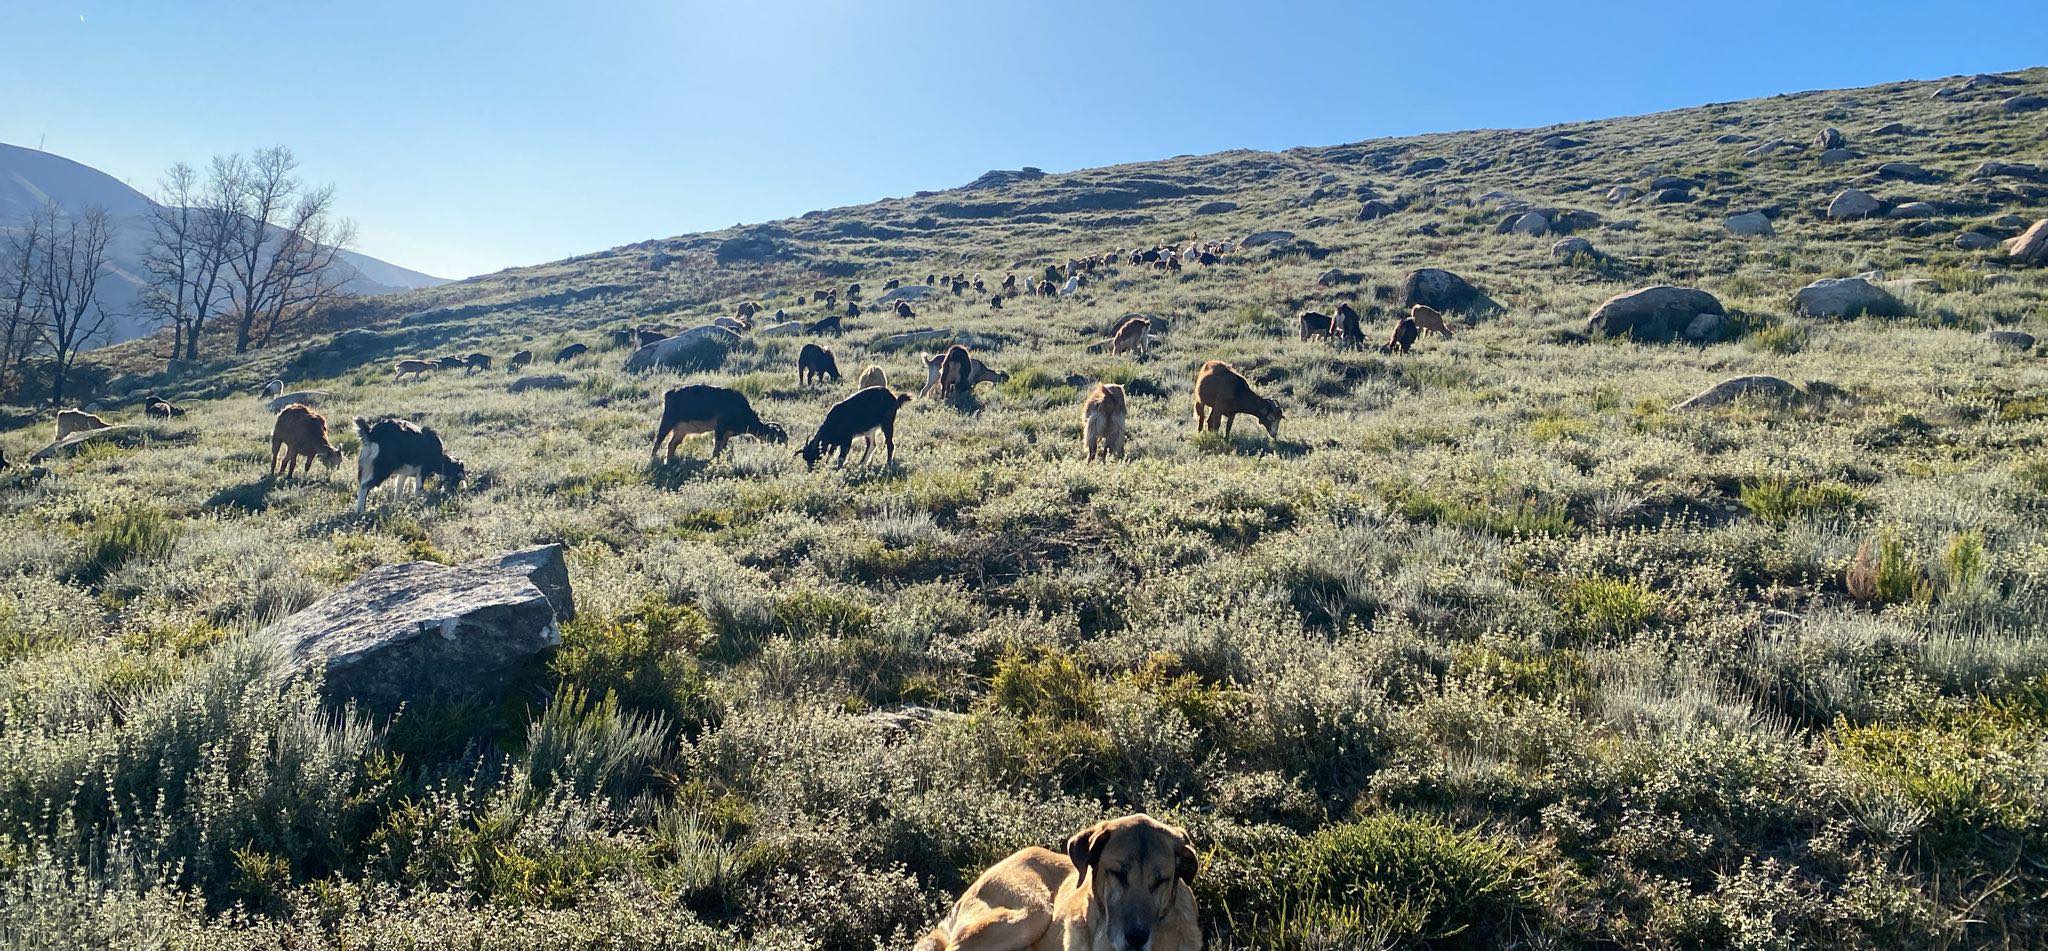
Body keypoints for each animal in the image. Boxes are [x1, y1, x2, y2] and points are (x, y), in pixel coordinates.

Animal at [651, 384, 787, 462]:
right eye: (777, 436)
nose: (784, 449)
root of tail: (669, 394)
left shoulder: (727, 434)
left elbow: (722, 448)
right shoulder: (720, 428)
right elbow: (716, 447)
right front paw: (714, 461)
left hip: (681, 430)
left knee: (672, 444)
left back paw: (670, 461)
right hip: (668, 421)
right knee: (658, 441)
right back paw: (653, 459)